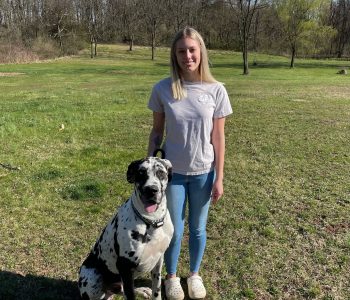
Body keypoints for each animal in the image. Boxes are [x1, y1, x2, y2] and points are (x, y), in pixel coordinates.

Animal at [78, 156, 174, 298]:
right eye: (141, 173)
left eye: (161, 172)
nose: (151, 190)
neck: (151, 221)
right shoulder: (125, 267)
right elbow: (130, 294)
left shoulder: (158, 260)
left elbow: (156, 290)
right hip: (91, 275)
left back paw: (141, 290)